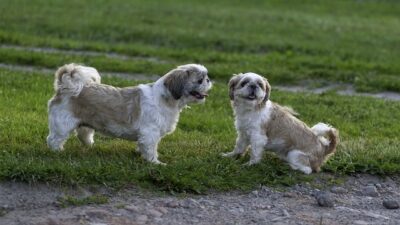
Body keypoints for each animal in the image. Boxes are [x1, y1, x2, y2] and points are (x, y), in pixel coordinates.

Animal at [47, 62, 212, 164]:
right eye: (199, 80)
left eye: (206, 78)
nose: (209, 80)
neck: (165, 99)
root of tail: (65, 87)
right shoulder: (150, 132)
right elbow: (151, 148)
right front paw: (155, 162)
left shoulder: (146, 134)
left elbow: (143, 145)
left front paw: (140, 153)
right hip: (63, 124)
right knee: (54, 139)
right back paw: (57, 151)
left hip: (84, 123)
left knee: (83, 135)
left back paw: (89, 145)